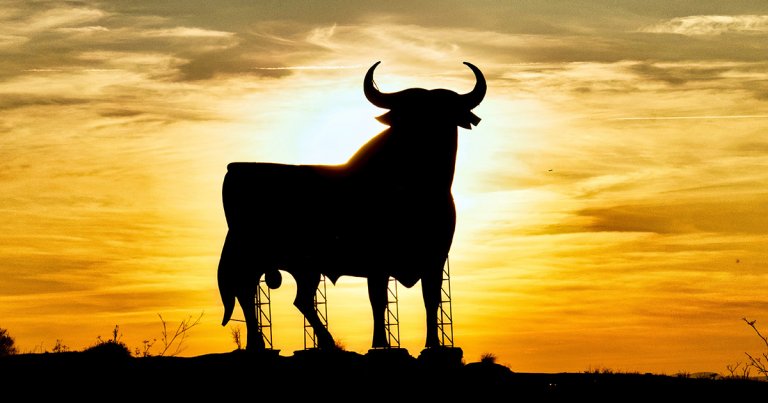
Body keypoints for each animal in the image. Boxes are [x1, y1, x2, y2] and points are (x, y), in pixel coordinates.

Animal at [218, 61, 486, 351]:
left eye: (444, 113)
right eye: (408, 114)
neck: (419, 187)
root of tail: (234, 169)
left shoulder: (434, 259)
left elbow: (431, 300)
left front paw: (433, 344)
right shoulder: (377, 261)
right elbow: (378, 301)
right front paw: (380, 344)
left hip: (302, 267)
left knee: (296, 299)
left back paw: (317, 342)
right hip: (252, 254)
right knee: (247, 292)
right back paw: (262, 344)